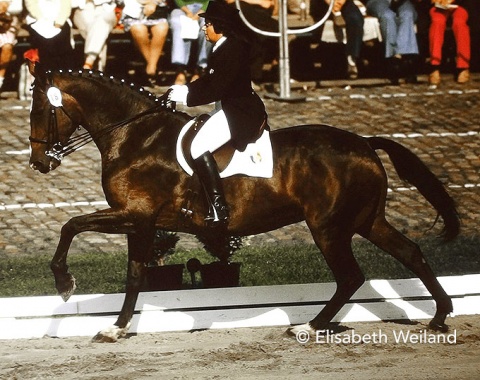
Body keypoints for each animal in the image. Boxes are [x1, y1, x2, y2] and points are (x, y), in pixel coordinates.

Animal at [27, 67, 462, 342]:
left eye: (41, 110)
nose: (39, 163)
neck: (136, 136)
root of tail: (365, 144)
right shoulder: (141, 222)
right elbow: (134, 276)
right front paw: (115, 329)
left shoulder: (134, 214)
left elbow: (71, 225)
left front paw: (64, 285)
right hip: (366, 220)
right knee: (410, 252)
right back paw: (440, 316)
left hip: (329, 226)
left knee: (351, 276)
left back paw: (308, 327)